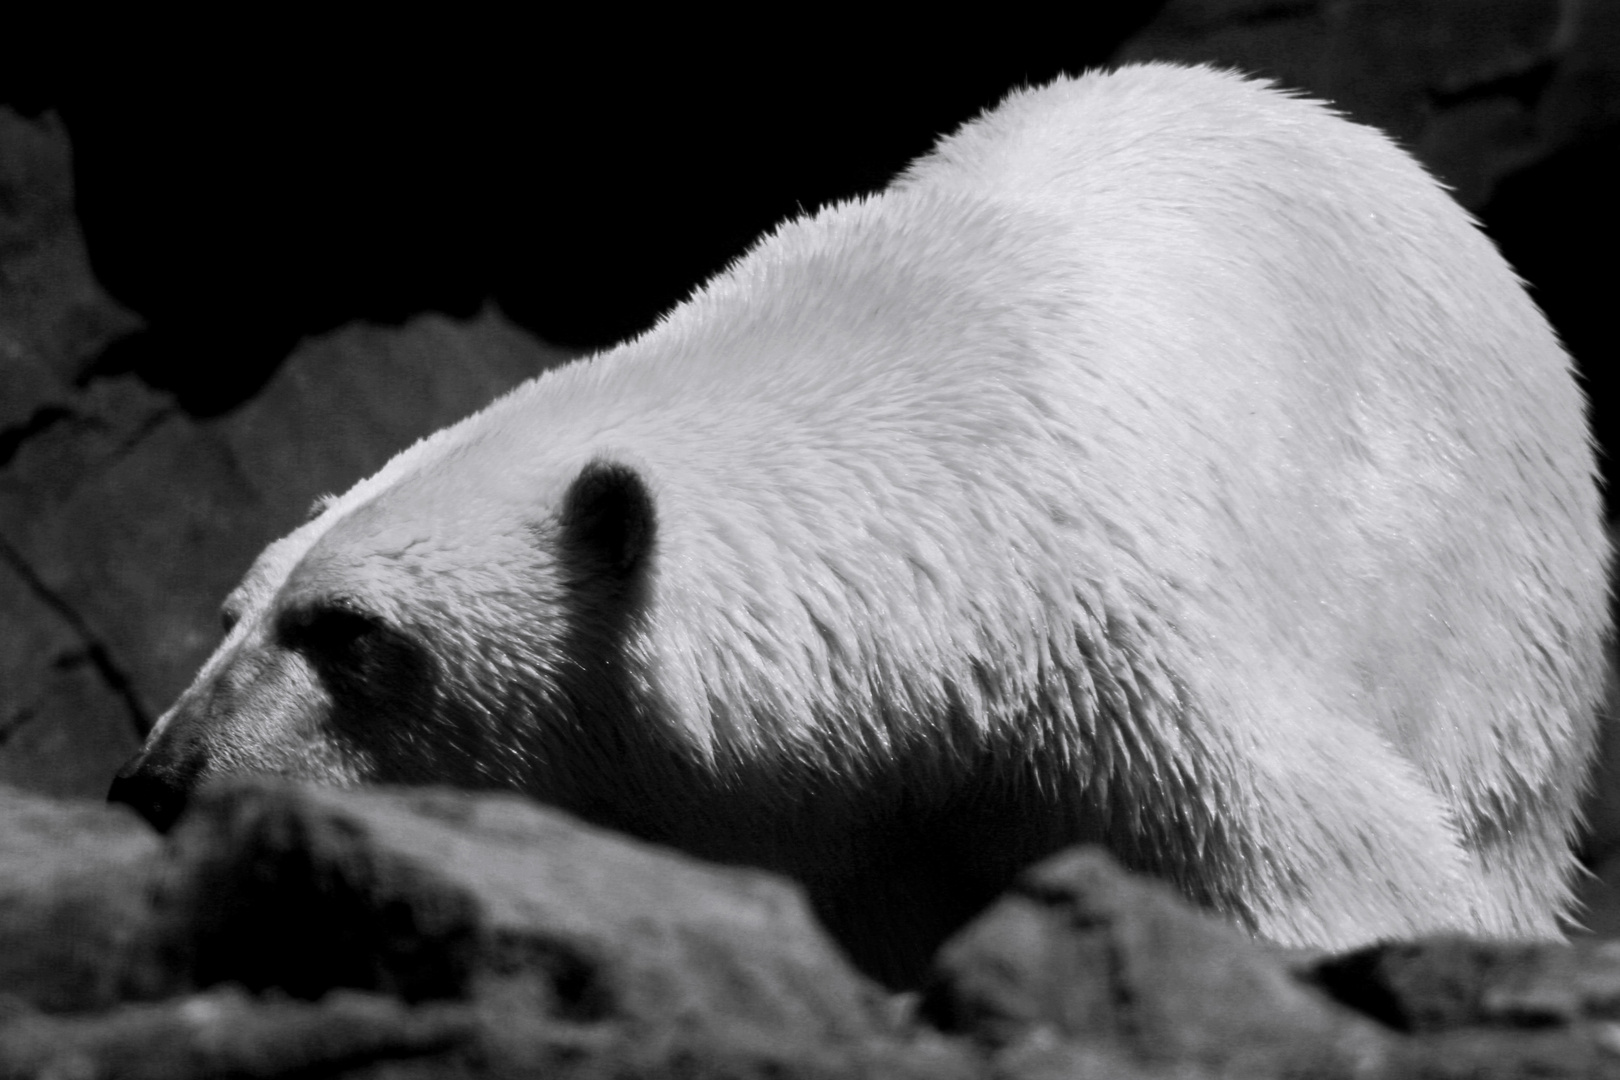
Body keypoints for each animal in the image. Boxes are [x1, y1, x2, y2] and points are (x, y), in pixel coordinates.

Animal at [107, 61, 1613, 990]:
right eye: (236, 610)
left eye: (349, 632)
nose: (157, 779)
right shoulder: (836, 829)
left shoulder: (1137, 672)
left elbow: (1330, 869)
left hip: (1491, 606)